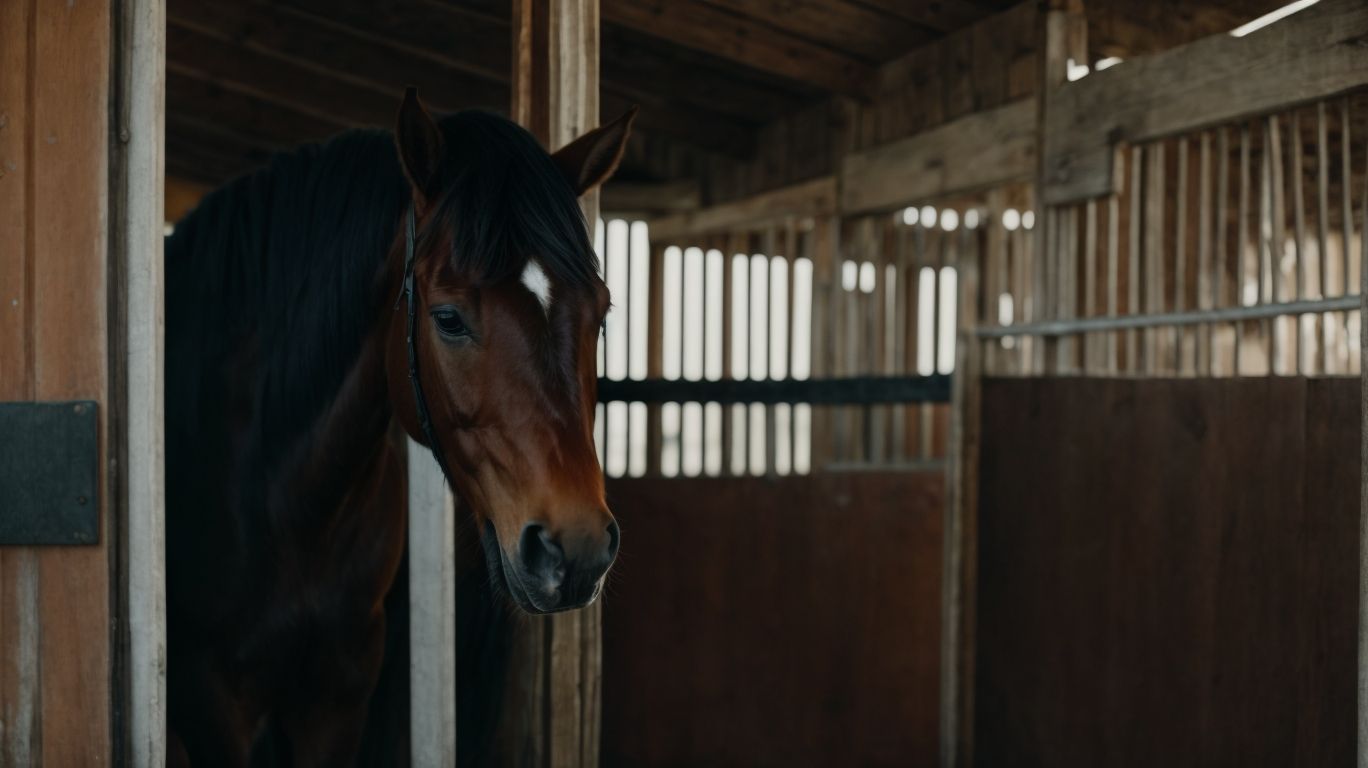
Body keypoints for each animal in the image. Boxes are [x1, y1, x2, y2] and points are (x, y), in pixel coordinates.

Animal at [163, 88, 633, 765]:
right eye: (448, 318)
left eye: (601, 314)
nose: (578, 550)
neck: (276, 499)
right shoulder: (212, 707)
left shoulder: (337, 700)